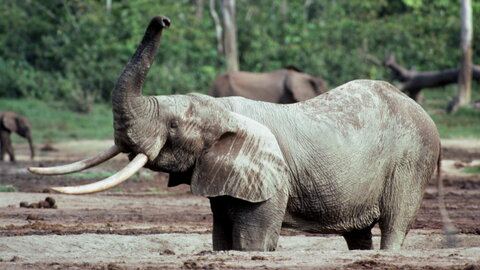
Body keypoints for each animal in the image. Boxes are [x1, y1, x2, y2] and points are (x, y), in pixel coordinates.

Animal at [29, 16, 442, 251]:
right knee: (358, 234)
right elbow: (222, 236)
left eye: (173, 127)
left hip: (411, 161)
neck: (222, 108)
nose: (164, 19)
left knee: (394, 224)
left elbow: (252, 241)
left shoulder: (270, 175)